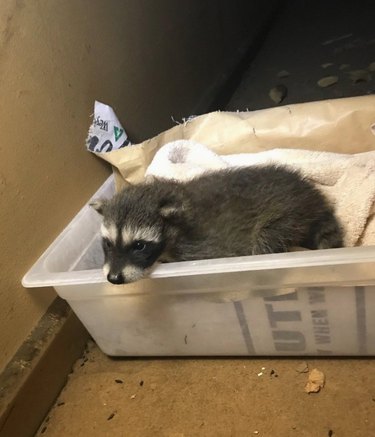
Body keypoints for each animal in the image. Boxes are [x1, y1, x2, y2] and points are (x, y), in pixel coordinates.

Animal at [91, 165, 344, 284]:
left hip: (287, 215)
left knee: (265, 240)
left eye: (139, 245)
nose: (113, 278)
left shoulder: (199, 248)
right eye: (108, 243)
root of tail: (311, 195)